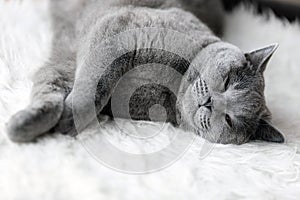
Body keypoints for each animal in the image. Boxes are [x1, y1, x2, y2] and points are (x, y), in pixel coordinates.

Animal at [5, 0, 284, 145]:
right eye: (226, 82)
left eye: (229, 120)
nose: (209, 102)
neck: (171, 89)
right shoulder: (116, 30)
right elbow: (93, 88)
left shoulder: (66, 64)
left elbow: (53, 91)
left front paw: (29, 125)